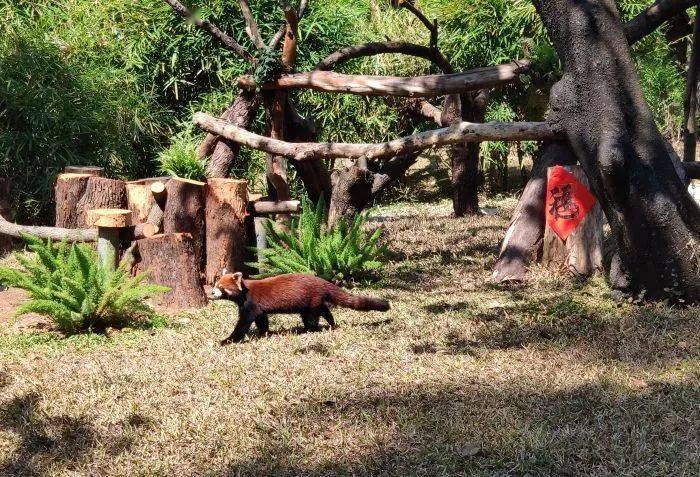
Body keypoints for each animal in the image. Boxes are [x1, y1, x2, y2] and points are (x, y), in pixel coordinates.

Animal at [211, 270, 392, 344]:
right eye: (215, 285)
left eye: (220, 287)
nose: (211, 293)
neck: (244, 292)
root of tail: (321, 281)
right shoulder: (259, 309)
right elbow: (262, 320)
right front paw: (264, 333)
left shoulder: (250, 304)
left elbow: (243, 324)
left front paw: (227, 340)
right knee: (324, 310)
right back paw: (331, 323)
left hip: (312, 299)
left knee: (312, 317)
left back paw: (311, 329)